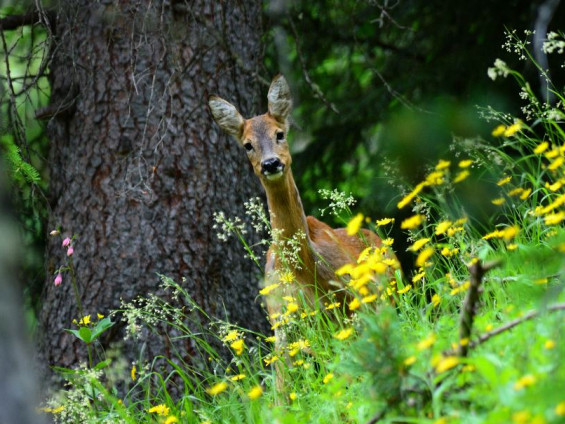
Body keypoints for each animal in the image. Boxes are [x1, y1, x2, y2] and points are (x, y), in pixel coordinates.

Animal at [209, 73, 386, 388]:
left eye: (280, 134)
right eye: (247, 144)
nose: (271, 163)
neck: (303, 270)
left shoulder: (352, 304)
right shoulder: (281, 322)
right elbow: (281, 390)